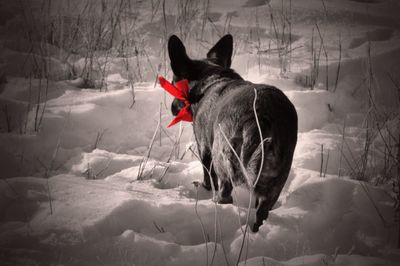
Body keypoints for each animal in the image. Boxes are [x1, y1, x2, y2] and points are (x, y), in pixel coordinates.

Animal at [166, 34, 296, 232]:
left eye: (174, 83)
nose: (172, 109)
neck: (212, 77)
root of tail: (261, 116)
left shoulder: (204, 148)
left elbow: (208, 174)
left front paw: (204, 187)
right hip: (278, 179)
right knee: (262, 211)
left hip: (223, 159)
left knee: (225, 194)